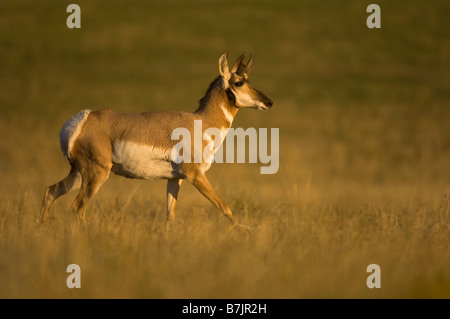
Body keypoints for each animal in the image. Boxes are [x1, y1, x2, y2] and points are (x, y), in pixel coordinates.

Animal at [41, 53, 274, 232]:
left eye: (248, 79)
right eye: (239, 82)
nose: (269, 102)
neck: (200, 122)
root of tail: (82, 119)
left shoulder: (174, 179)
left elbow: (169, 215)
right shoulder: (196, 176)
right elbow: (225, 207)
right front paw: (245, 233)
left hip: (79, 174)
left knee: (51, 192)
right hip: (95, 175)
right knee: (77, 208)